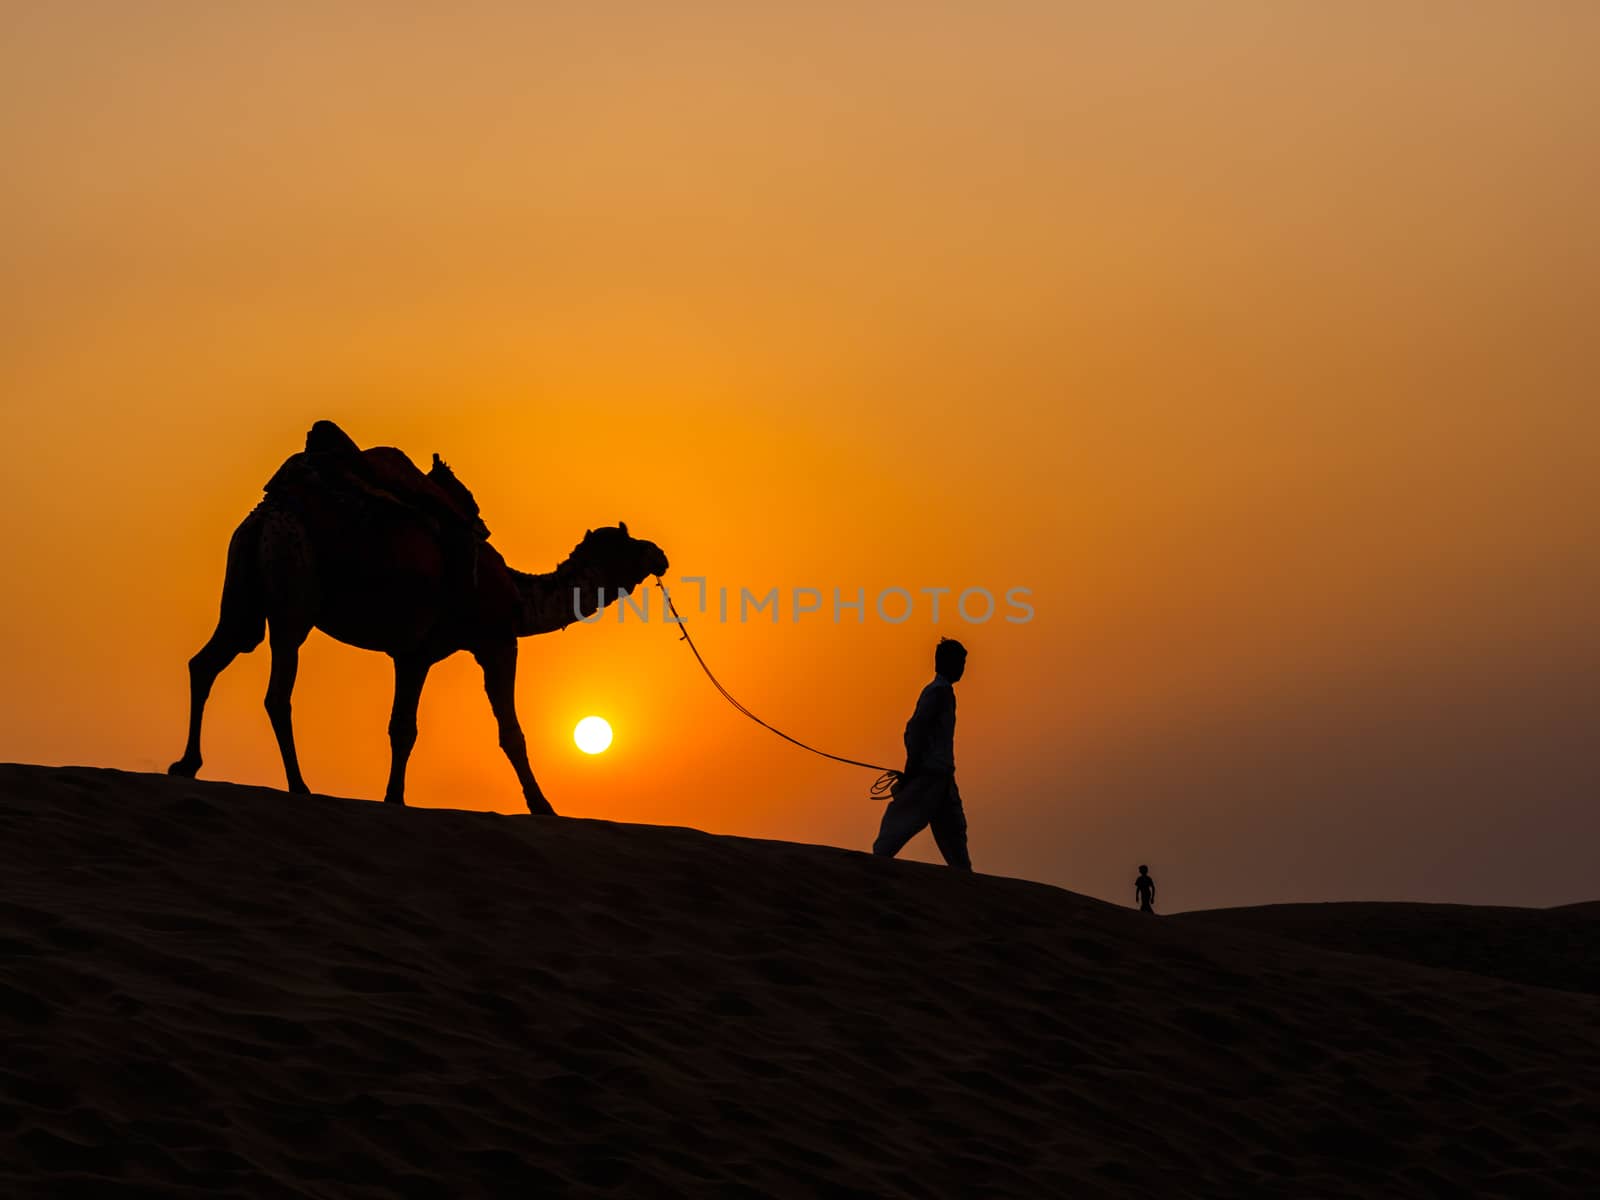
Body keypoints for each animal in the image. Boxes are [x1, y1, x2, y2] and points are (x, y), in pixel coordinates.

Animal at [172, 425, 672, 819]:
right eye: (627, 543)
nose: (659, 554)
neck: (517, 596)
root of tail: (268, 515)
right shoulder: (490, 642)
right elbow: (504, 732)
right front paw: (543, 806)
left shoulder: (413, 652)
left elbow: (402, 728)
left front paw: (393, 797)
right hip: (293, 595)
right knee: (277, 692)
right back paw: (299, 785)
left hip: (244, 592)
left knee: (208, 660)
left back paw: (187, 764)